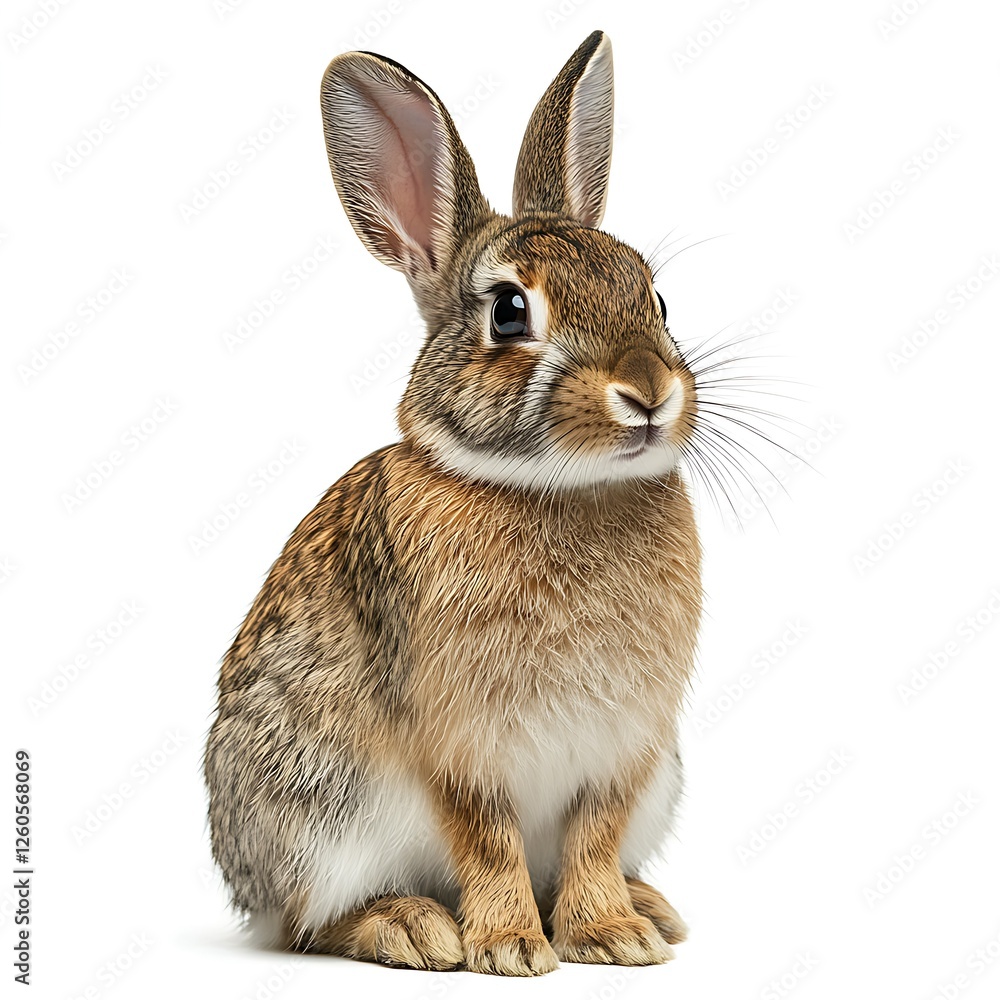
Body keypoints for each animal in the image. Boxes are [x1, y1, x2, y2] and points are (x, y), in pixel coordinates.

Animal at [204, 29, 702, 976]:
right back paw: (414, 927)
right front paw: (510, 947)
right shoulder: (459, 746)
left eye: (654, 296)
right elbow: (488, 839)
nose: (649, 393)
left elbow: (593, 836)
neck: (555, 488)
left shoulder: (624, 749)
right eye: (509, 311)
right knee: (305, 924)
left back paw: (653, 907)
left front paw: (610, 936)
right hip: (321, 812)